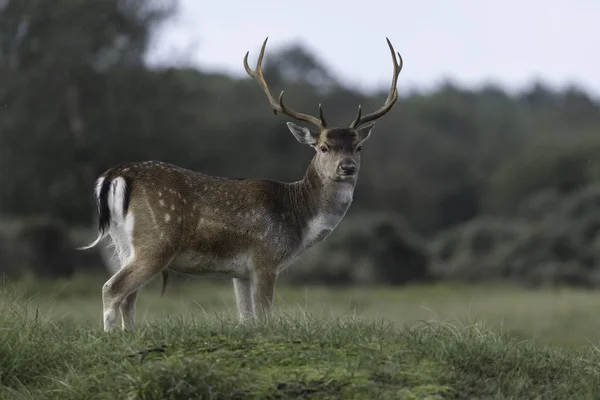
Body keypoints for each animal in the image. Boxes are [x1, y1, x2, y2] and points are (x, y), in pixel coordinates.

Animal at [78, 36, 404, 332]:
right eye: (323, 147)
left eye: (357, 147)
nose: (347, 167)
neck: (298, 219)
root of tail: (116, 175)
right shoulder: (265, 259)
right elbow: (263, 316)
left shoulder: (240, 273)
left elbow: (246, 319)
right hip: (157, 240)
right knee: (113, 289)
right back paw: (110, 338)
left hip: (122, 244)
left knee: (128, 296)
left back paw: (129, 335)